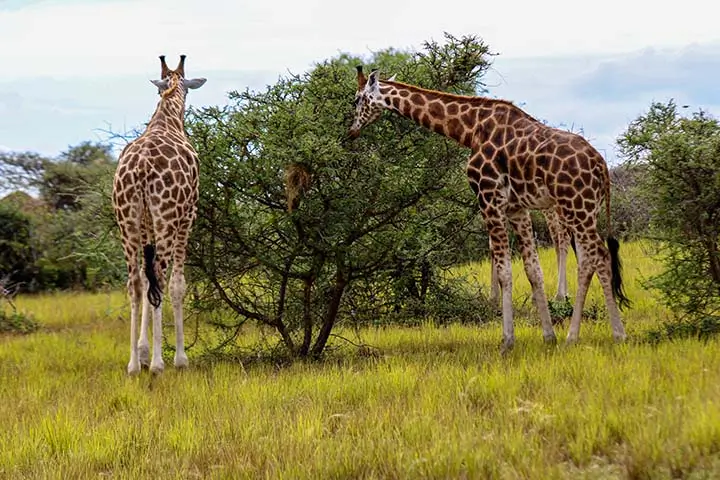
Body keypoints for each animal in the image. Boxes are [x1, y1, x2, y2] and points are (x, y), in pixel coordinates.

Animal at [112, 53, 207, 376]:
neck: (167, 119)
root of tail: (141, 168)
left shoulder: (145, 226)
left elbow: (145, 278)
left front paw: (141, 351)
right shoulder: (188, 215)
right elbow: (177, 286)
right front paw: (179, 357)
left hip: (126, 221)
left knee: (135, 282)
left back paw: (132, 365)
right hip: (167, 219)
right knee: (161, 276)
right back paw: (158, 364)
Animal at [350, 65, 632, 350]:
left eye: (357, 100)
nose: (351, 131)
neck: (470, 130)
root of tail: (601, 165)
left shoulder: (489, 198)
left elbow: (505, 271)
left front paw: (507, 341)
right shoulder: (517, 208)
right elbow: (533, 270)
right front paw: (548, 336)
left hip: (576, 207)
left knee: (600, 256)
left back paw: (612, 334)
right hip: (586, 209)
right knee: (588, 260)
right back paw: (574, 335)